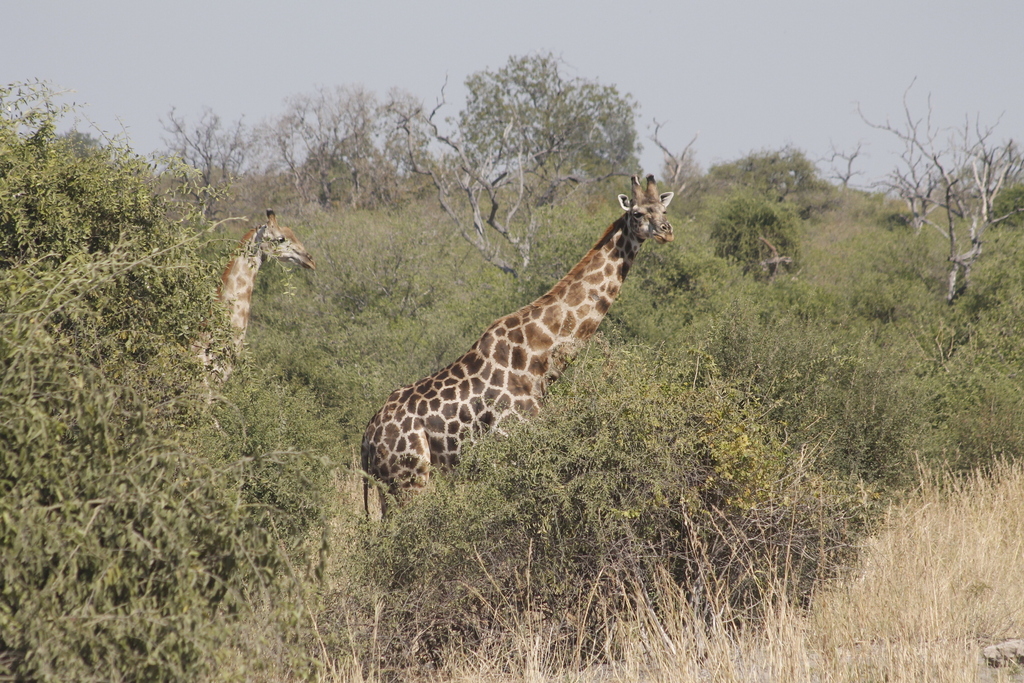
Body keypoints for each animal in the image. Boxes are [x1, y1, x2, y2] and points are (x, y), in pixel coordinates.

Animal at [360, 175, 674, 515]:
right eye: (637, 213)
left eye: (664, 209)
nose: (666, 231)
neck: (537, 356)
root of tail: (368, 435)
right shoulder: (511, 440)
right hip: (410, 478)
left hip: (390, 486)